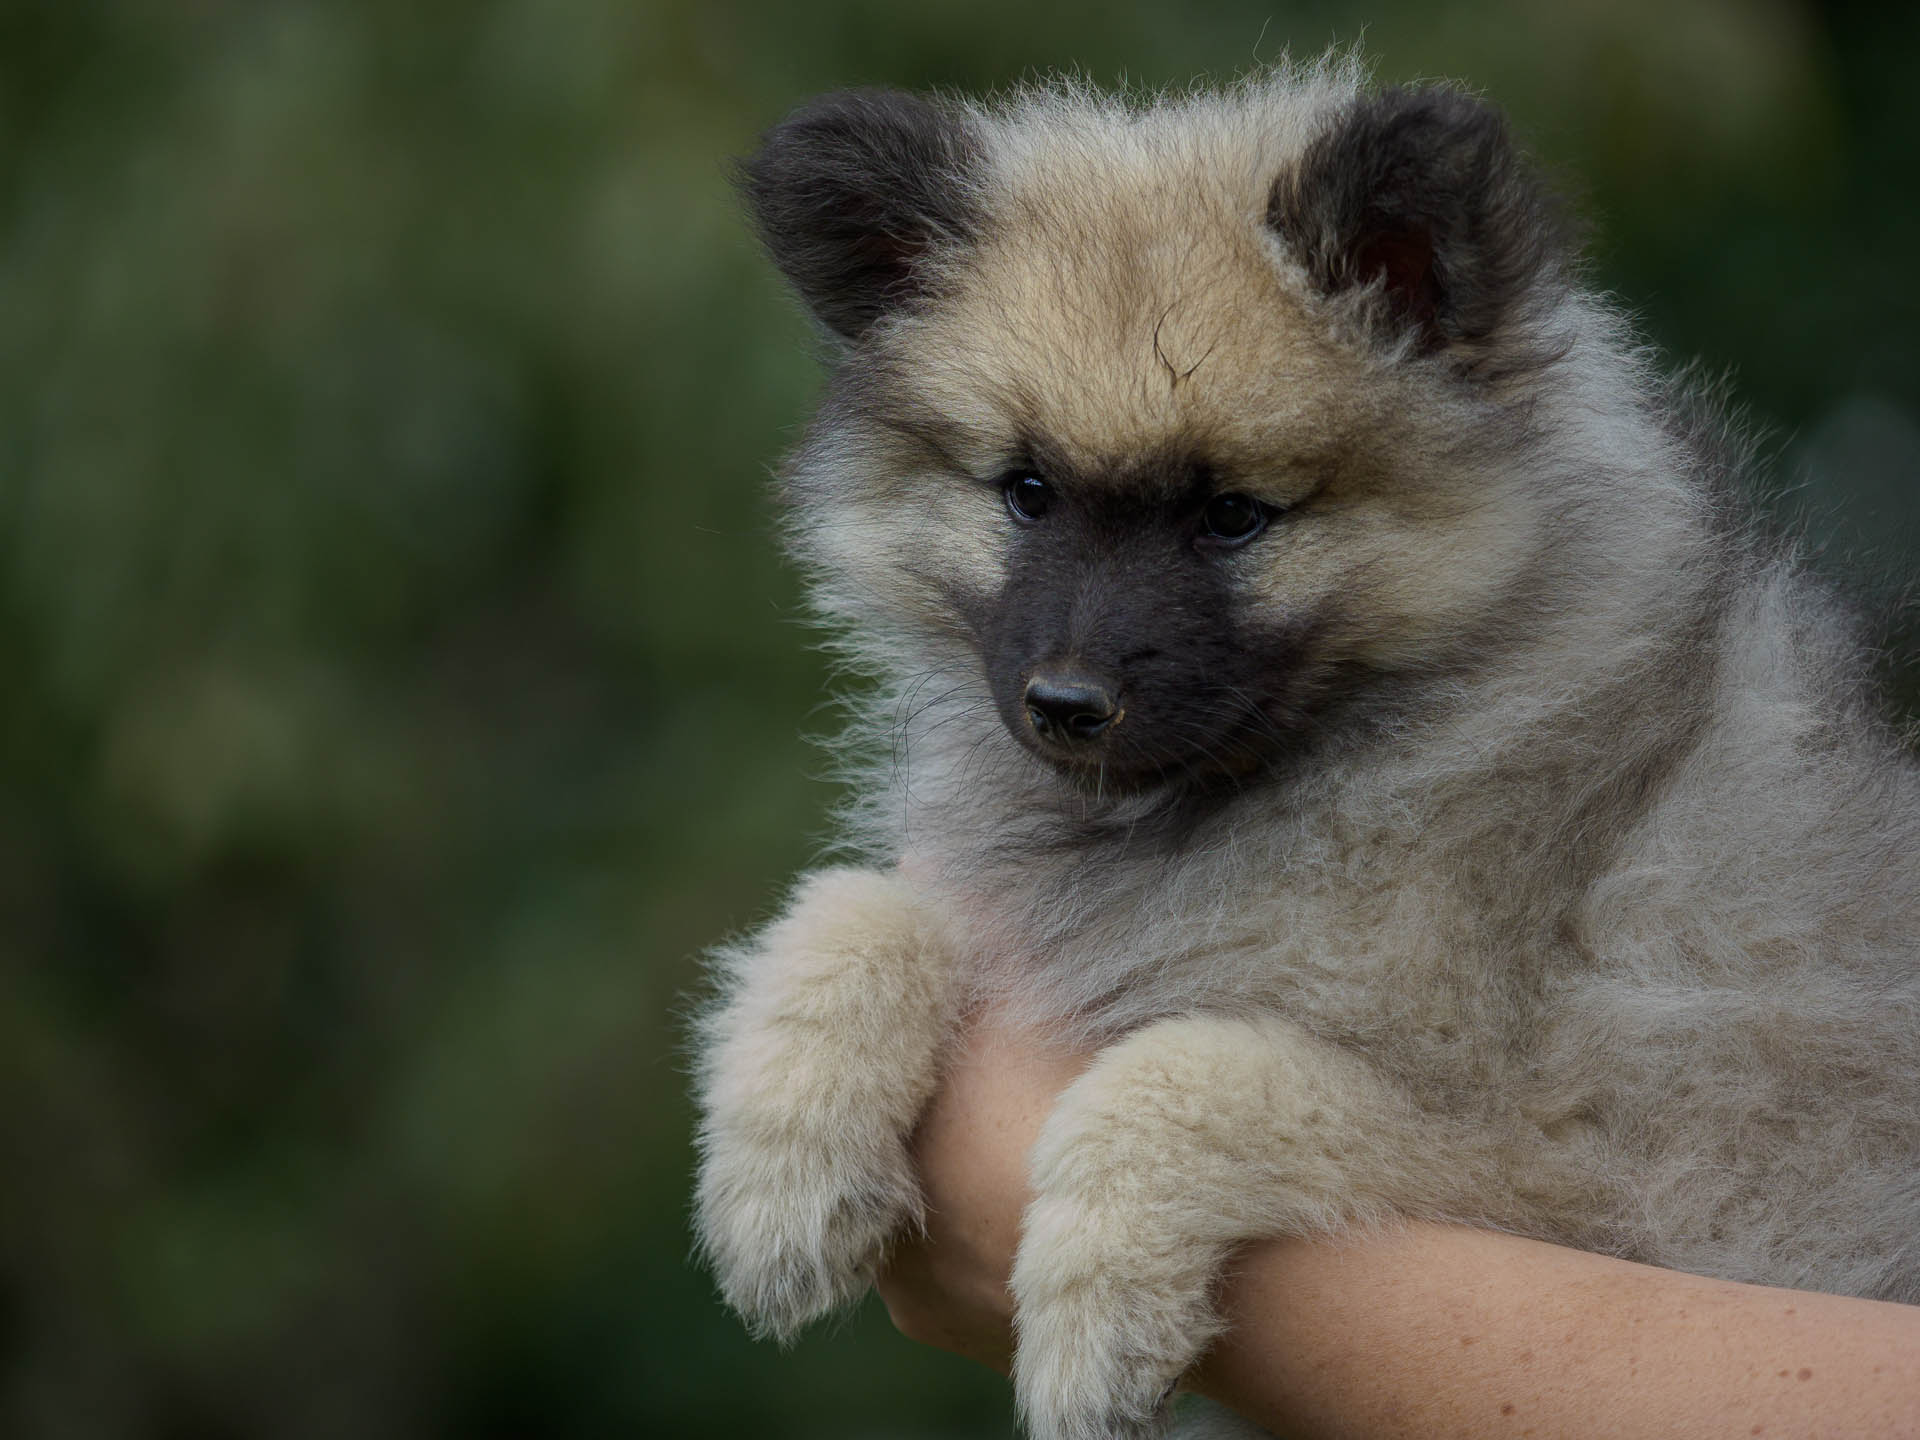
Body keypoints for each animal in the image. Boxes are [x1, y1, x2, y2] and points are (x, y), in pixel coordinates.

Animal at [691, 56, 1920, 1440]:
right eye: (1027, 494)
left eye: (1235, 516)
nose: (1066, 703)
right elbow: (855, 907)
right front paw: (780, 1164)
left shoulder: (1583, 1157)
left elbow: (1182, 1068)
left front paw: (1091, 1309)